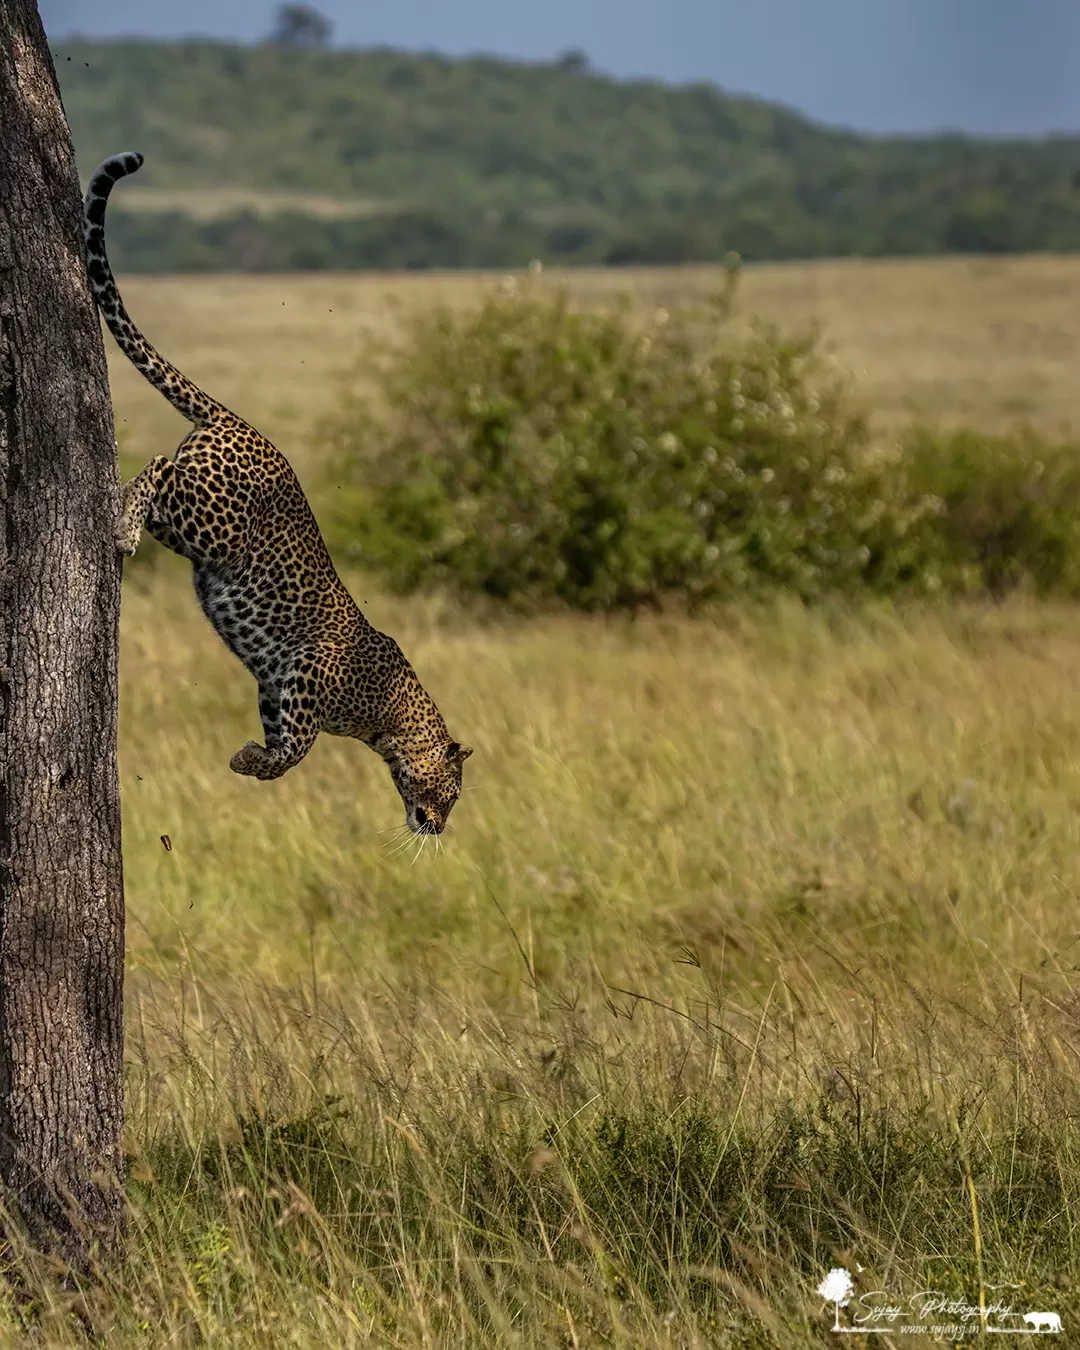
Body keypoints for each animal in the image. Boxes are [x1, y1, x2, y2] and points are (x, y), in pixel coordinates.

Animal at [82, 153, 469, 837]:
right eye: (449, 793)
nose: (440, 827)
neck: (390, 722)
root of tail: (241, 423)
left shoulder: (275, 687)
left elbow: (284, 741)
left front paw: (250, 757)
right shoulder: (308, 674)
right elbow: (296, 753)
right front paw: (248, 760)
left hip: (192, 533)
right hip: (208, 520)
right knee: (154, 465)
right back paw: (122, 529)